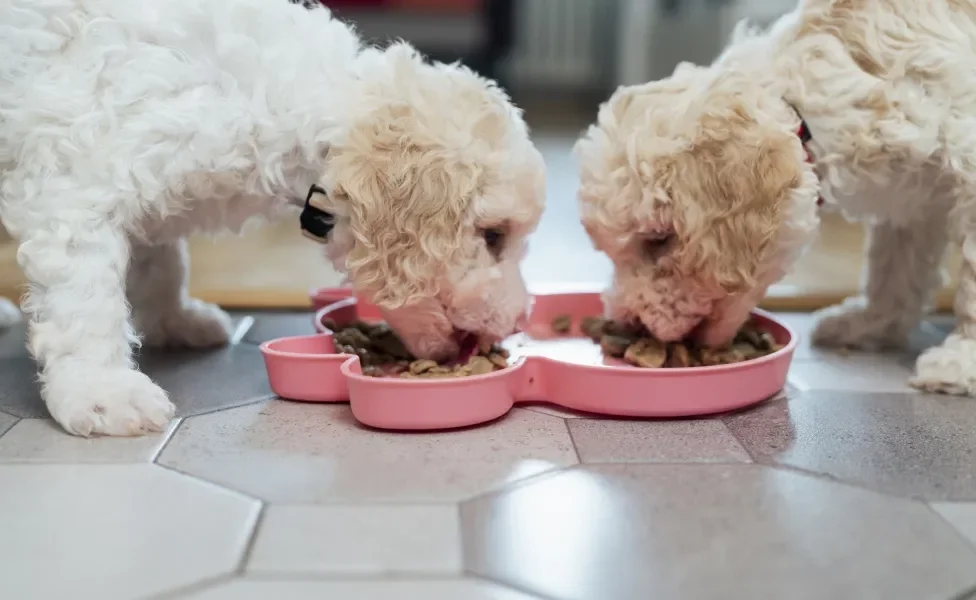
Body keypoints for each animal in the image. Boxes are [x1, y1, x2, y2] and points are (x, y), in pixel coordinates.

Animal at [0, 0, 548, 434]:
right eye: (493, 235)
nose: (520, 319)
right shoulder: (80, 185)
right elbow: (87, 304)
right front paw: (103, 392)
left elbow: (163, 262)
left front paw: (177, 320)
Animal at [576, 0, 976, 396]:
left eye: (659, 238)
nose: (627, 323)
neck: (804, 107)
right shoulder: (913, 197)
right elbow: (893, 267)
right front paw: (871, 323)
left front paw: (959, 361)